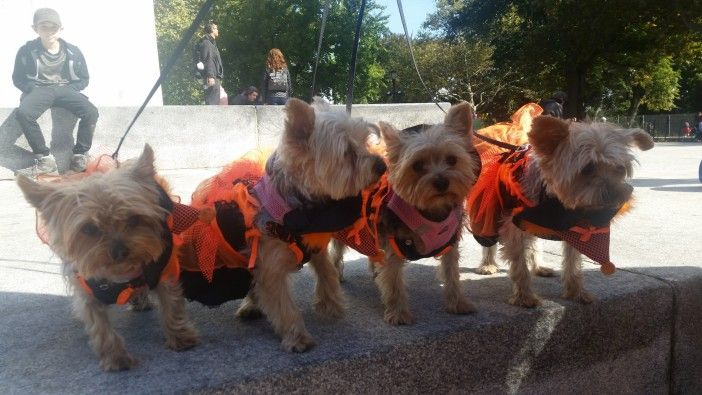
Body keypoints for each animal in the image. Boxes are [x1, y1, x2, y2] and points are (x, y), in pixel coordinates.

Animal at [15, 145, 201, 372]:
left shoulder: (163, 270)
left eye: (134, 219)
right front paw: (116, 357)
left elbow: (172, 304)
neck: (122, 274)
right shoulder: (87, 291)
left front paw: (181, 337)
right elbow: (100, 326)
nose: (120, 251)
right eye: (89, 228)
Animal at [332, 101, 482, 324]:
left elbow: (452, 273)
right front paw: (398, 313)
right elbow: (393, 280)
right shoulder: (393, 243)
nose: (441, 182)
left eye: (452, 160)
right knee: (337, 252)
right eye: (417, 165)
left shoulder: (449, 243)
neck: (429, 211)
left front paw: (458, 303)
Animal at [470, 116, 656, 308]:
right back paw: (488, 264)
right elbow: (520, 265)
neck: (554, 200)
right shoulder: (515, 226)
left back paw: (539, 266)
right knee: (488, 238)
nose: (614, 195)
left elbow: (573, 262)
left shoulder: (569, 226)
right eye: (588, 168)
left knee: (535, 242)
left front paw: (576, 292)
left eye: (620, 168)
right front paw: (524, 296)